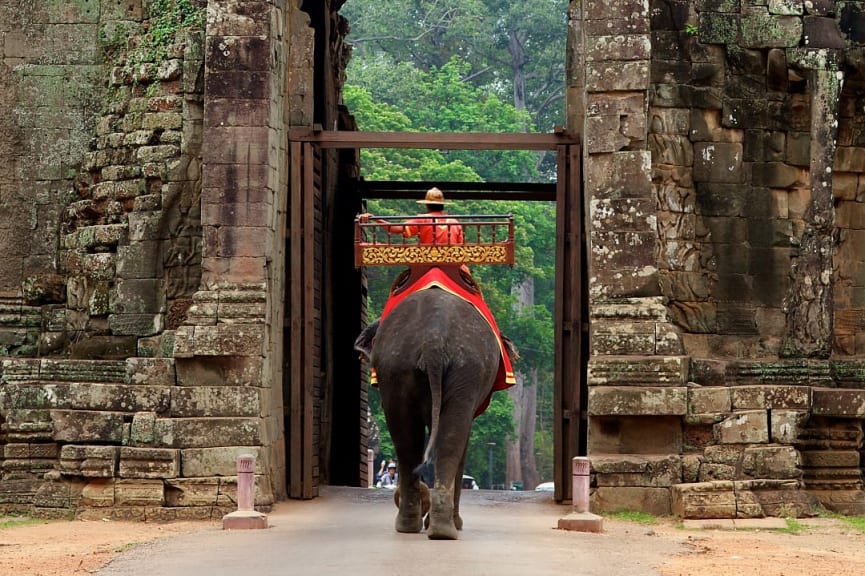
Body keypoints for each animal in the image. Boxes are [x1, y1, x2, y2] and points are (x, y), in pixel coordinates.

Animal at [354, 288, 516, 540]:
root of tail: (434, 341)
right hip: (457, 369)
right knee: (444, 438)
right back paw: (438, 528)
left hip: (403, 367)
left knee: (411, 438)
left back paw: (428, 527)